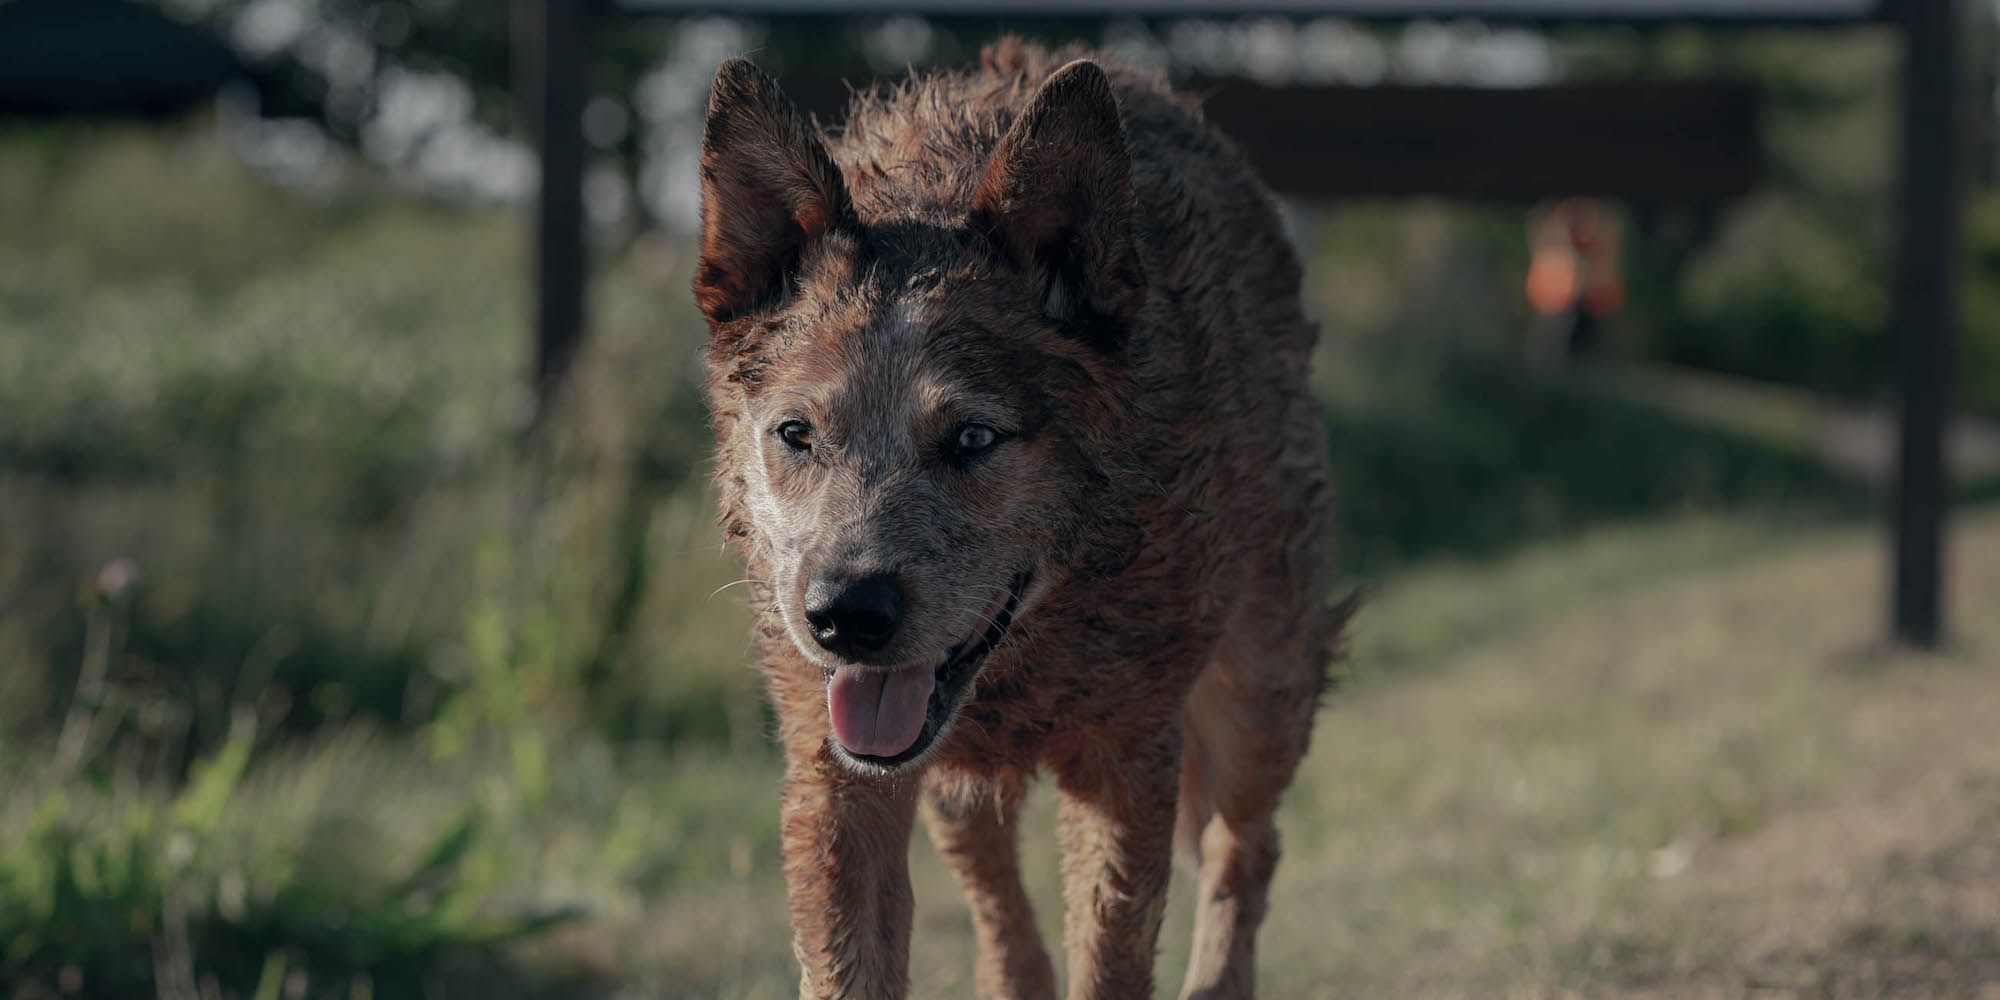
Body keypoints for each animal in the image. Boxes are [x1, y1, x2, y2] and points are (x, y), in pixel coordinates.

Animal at [700, 41, 1344, 1000]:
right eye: (796, 434)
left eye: (973, 437)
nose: (844, 615)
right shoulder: (835, 774)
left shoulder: (1124, 761)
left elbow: (1112, 957)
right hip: (952, 786)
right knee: (995, 890)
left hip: (1264, 684)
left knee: (1246, 845)